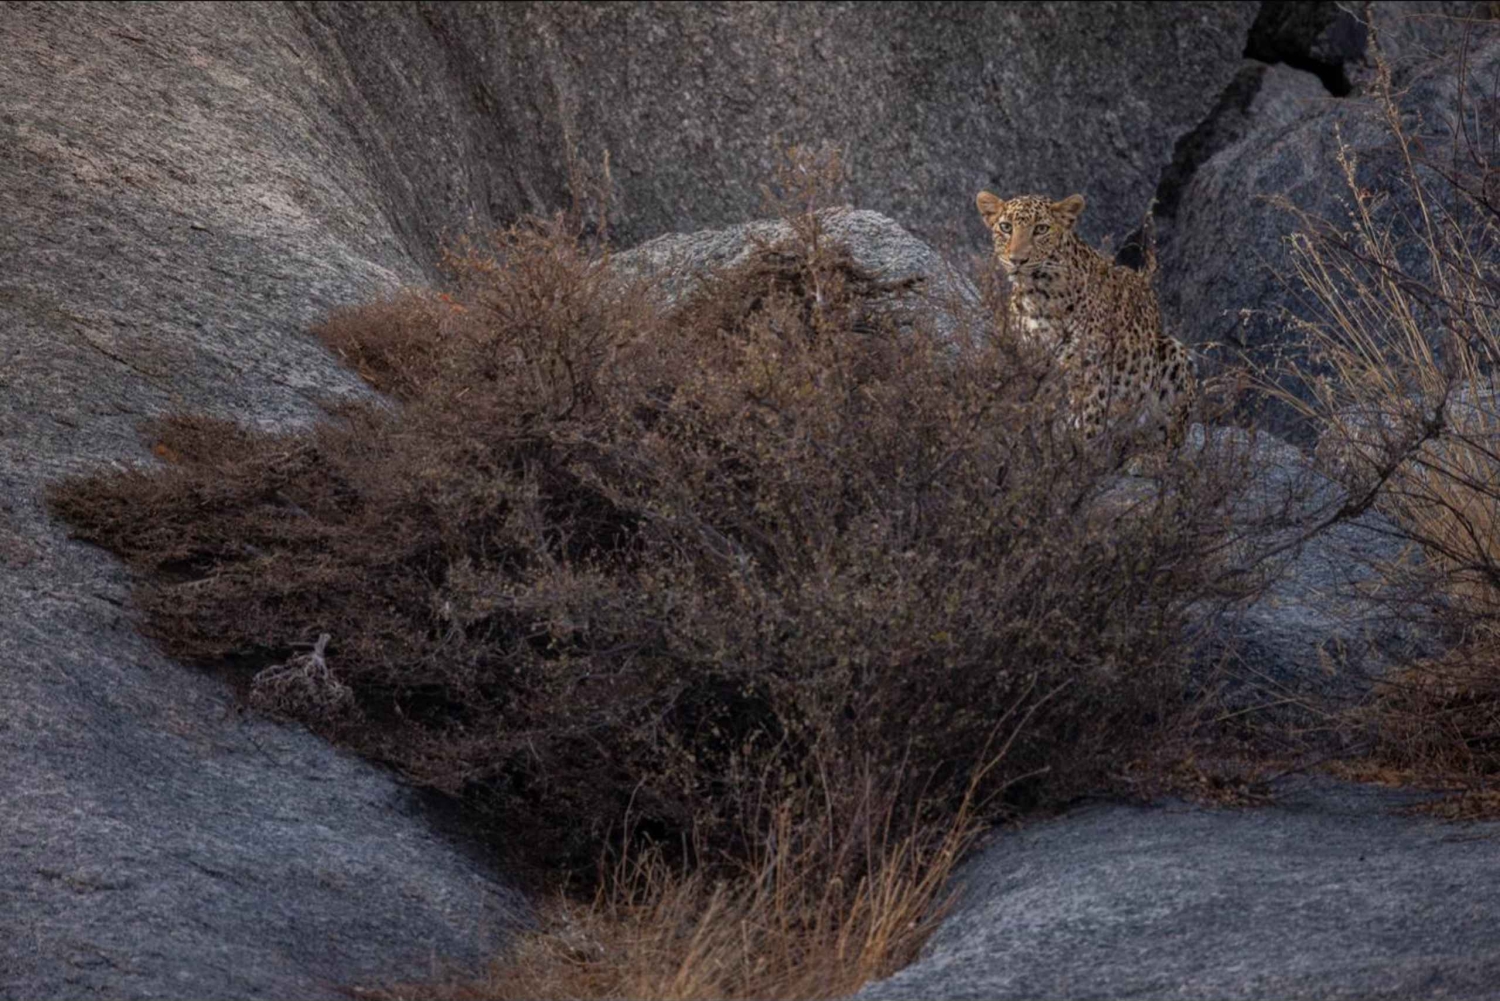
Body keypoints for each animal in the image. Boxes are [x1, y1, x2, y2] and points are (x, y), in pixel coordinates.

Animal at [975, 190, 1197, 451]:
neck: (1037, 295)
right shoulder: (1028, 366)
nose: (1017, 260)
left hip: (1174, 356)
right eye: (1006, 227)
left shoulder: (1090, 373)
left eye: (1041, 229)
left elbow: (1084, 427)